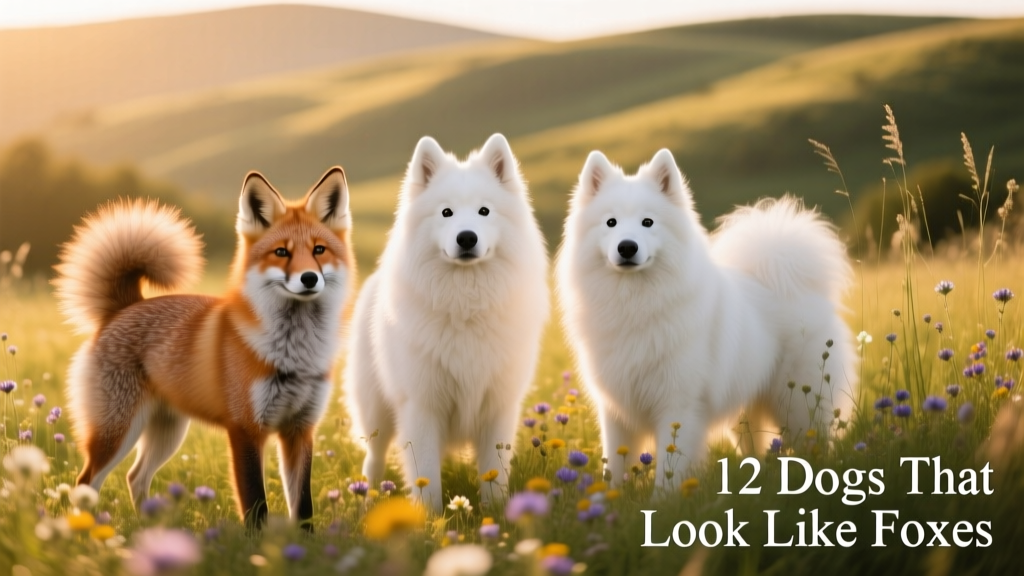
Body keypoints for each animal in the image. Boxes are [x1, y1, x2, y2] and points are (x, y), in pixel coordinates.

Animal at [54, 167, 355, 529]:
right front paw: (257, 545)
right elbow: (256, 506)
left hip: (167, 434)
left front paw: (303, 546)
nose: (309, 278)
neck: (293, 353)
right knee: (85, 483)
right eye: (281, 252)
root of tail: (126, 306)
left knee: (135, 477)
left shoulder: (300, 430)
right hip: (117, 432)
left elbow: (304, 510)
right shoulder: (245, 429)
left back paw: (152, 530)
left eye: (319, 250)